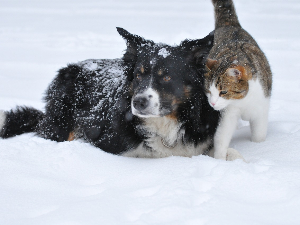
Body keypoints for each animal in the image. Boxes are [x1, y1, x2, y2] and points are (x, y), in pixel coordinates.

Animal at [205, 0, 274, 160]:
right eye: (208, 91)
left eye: (223, 92)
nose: (212, 103)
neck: (243, 100)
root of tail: (229, 24)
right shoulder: (228, 112)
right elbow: (221, 136)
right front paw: (219, 159)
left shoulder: (261, 108)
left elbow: (259, 135)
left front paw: (259, 148)